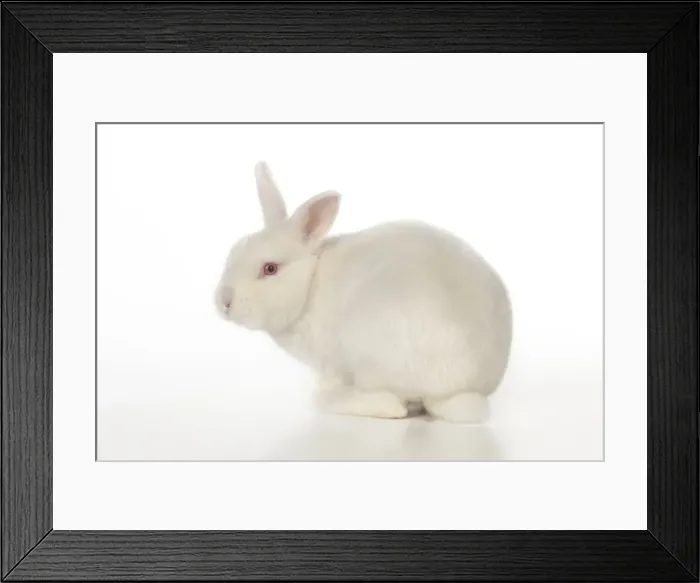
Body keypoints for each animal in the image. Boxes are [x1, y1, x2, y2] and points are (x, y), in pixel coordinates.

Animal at [214, 161, 513, 424]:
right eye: (234, 251)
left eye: (270, 268)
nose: (224, 302)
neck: (310, 281)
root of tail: (460, 389)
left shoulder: (331, 364)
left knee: (392, 405)